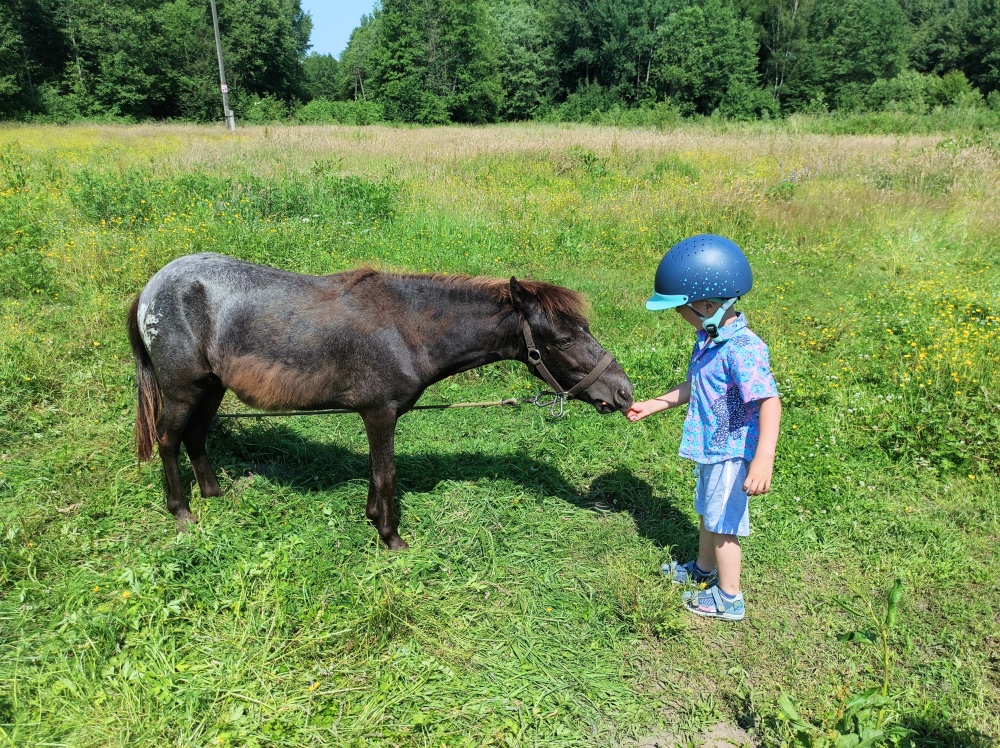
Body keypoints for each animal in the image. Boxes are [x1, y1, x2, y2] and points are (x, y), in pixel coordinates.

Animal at [127, 253, 632, 548]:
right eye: (564, 339)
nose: (622, 391)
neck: (406, 328)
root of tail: (152, 287)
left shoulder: (377, 416)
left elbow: (376, 472)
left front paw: (373, 519)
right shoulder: (380, 414)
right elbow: (387, 475)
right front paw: (391, 538)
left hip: (211, 388)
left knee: (196, 436)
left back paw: (215, 495)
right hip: (183, 390)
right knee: (170, 440)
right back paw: (182, 513)